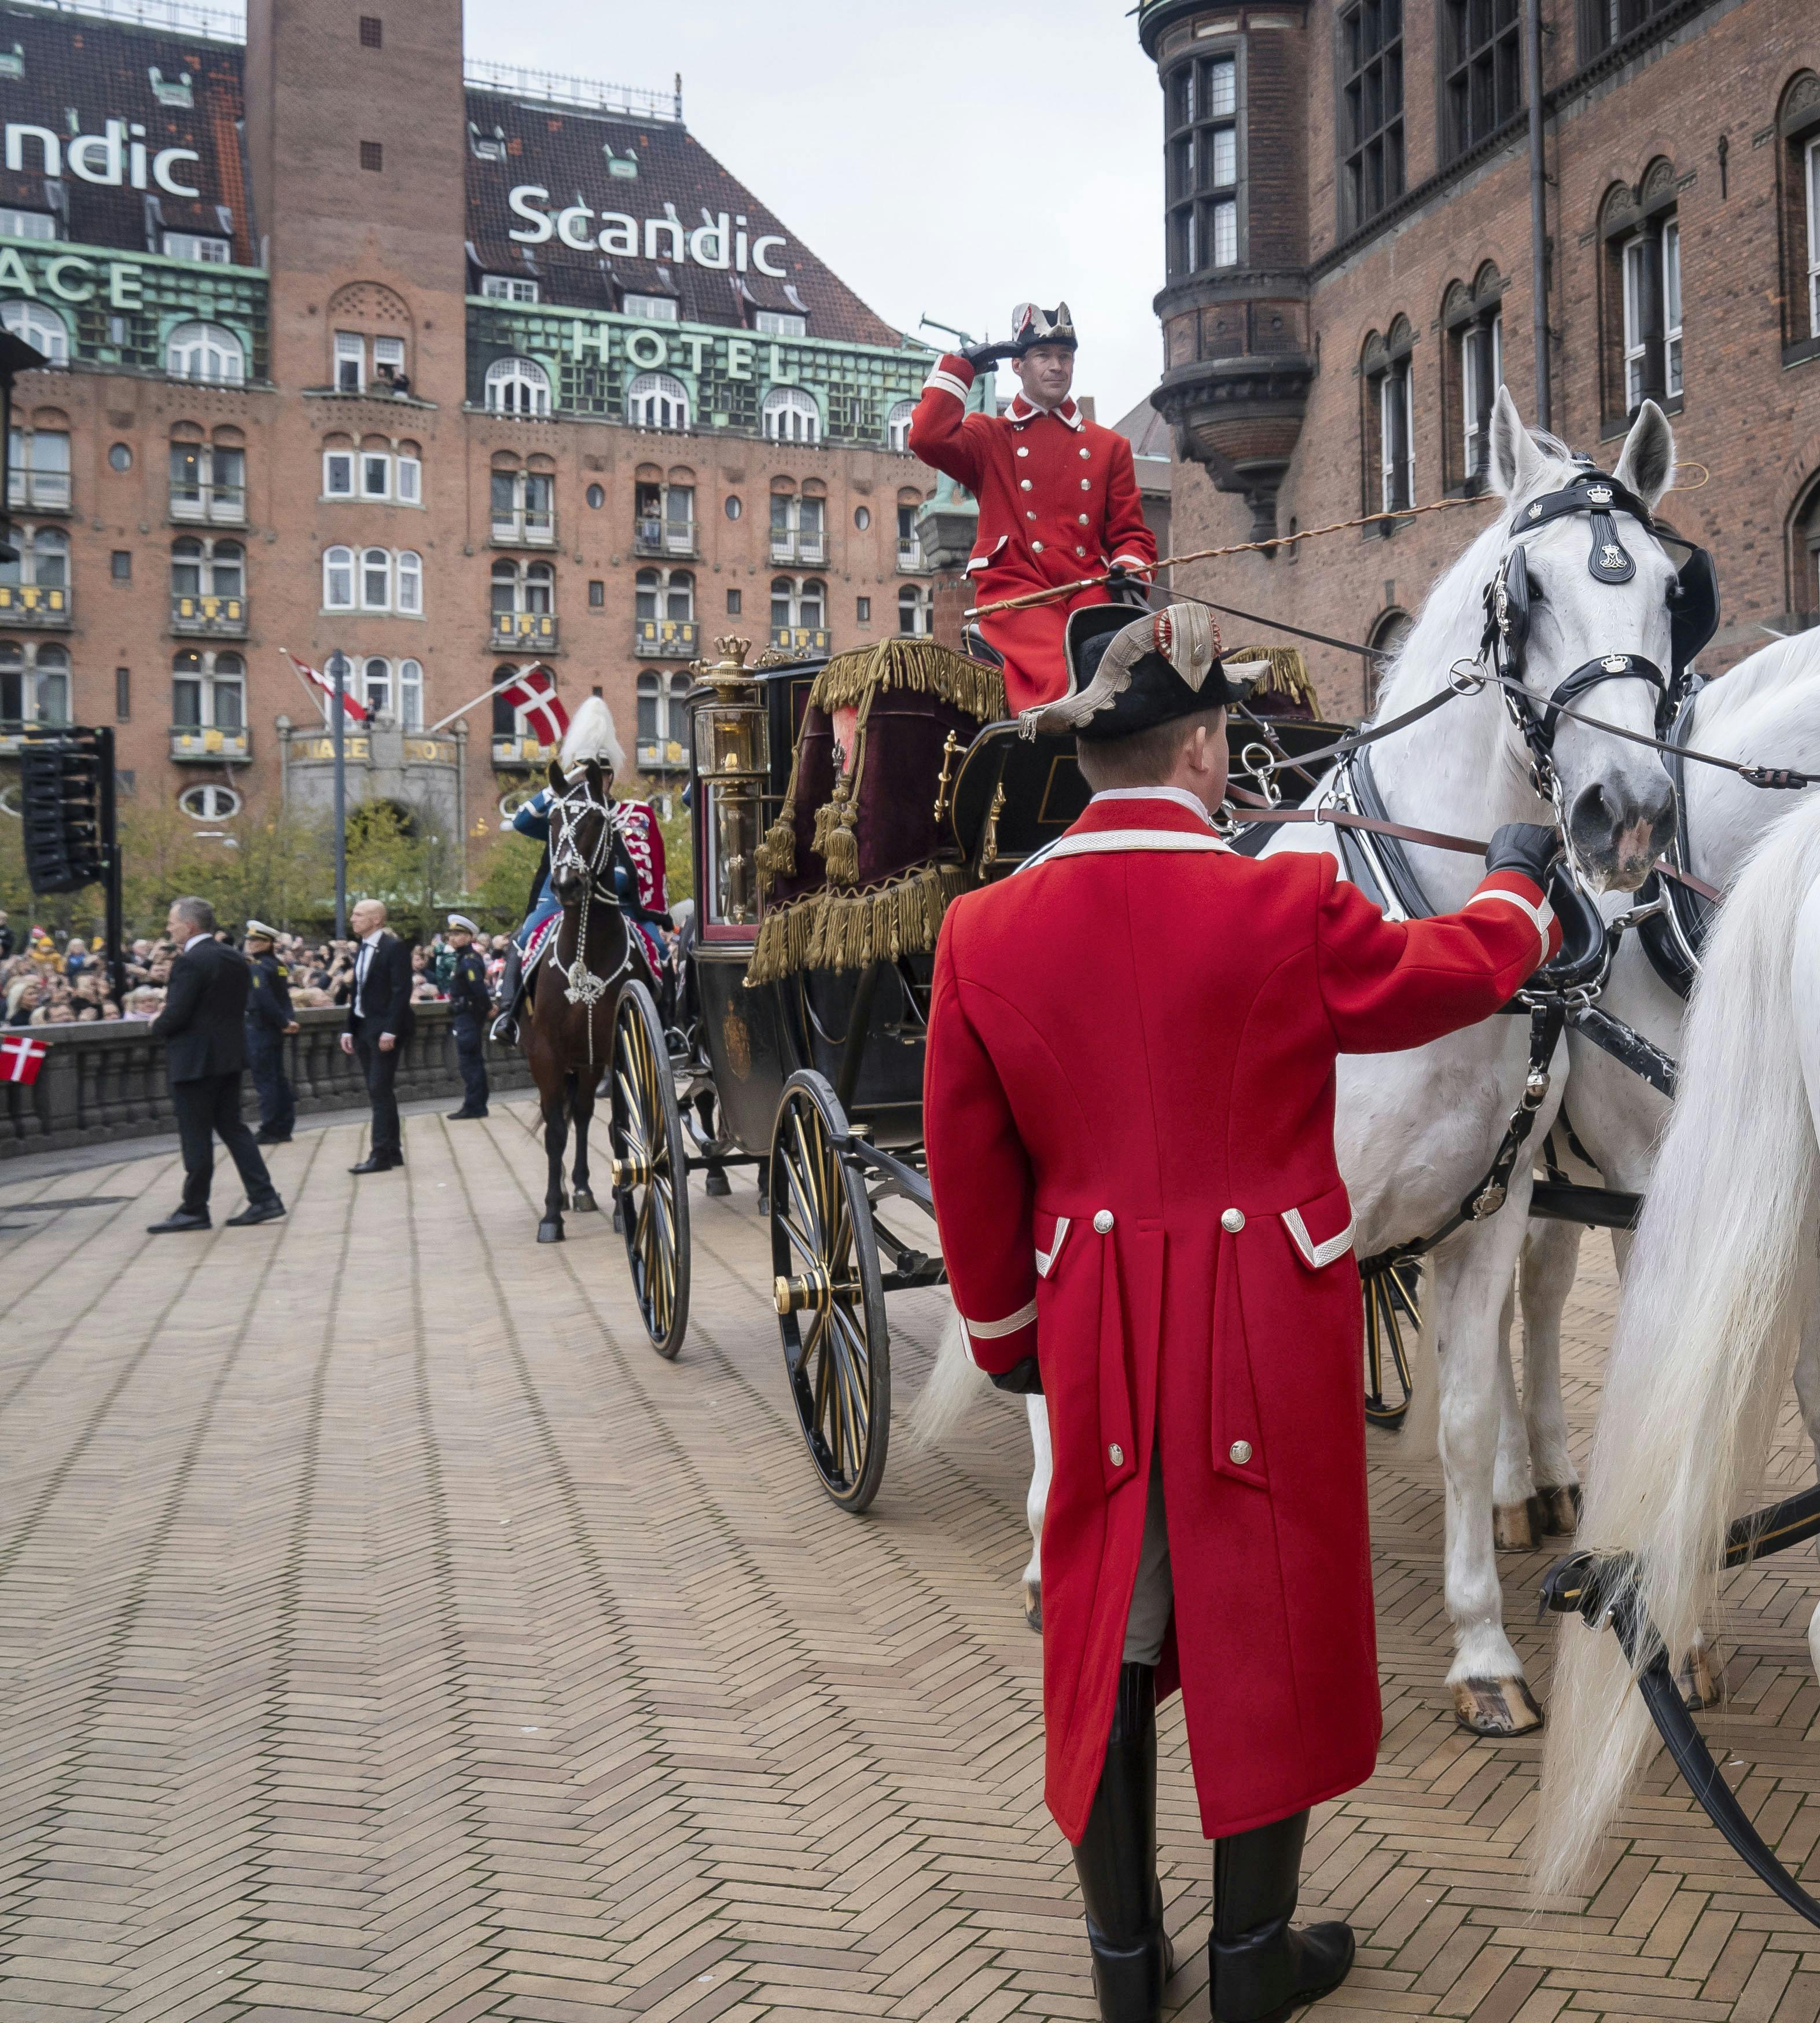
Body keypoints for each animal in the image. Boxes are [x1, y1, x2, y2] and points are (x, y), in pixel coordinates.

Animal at [517, 752, 647, 1238]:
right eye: (553, 821)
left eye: (594, 821)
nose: (566, 884)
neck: (585, 955)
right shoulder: (545, 1053)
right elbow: (555, 1131)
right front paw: (551, 1215)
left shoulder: (614, 1048)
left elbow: (617, 1128)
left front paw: (622, 1209)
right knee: (565, 1116)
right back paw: (567, 1191)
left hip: (589, 1062)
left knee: (587, 1111)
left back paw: (585, 1188)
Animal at [926, 394, 1690, 1739]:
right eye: (1526, 592)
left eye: (1665, 588)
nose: (1629, 810)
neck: (1428, 927)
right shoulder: (1304, 1226)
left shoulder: (1486, 1213)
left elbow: (1461, 1414)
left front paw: (1482, 1649)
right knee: (1039, 1367)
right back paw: (1047, 1554)